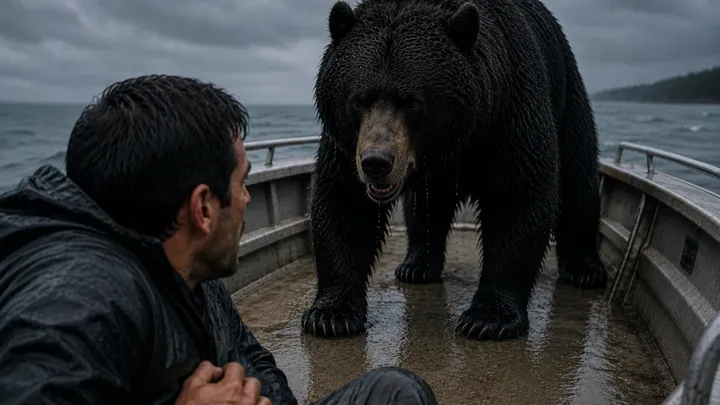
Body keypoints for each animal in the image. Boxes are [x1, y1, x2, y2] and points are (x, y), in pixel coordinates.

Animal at [301, 0, 607, 341]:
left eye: (412, 102)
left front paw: (488, 318)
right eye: (358, 100)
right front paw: (331, 314)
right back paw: (416, 265)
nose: (376, 162)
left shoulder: (511, 110)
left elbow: (517, 195)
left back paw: (585, 271)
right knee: (425, 209)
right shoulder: (346, 146)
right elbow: (345, 202)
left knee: (578, 180)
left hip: (568, 97)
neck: (459, 138)